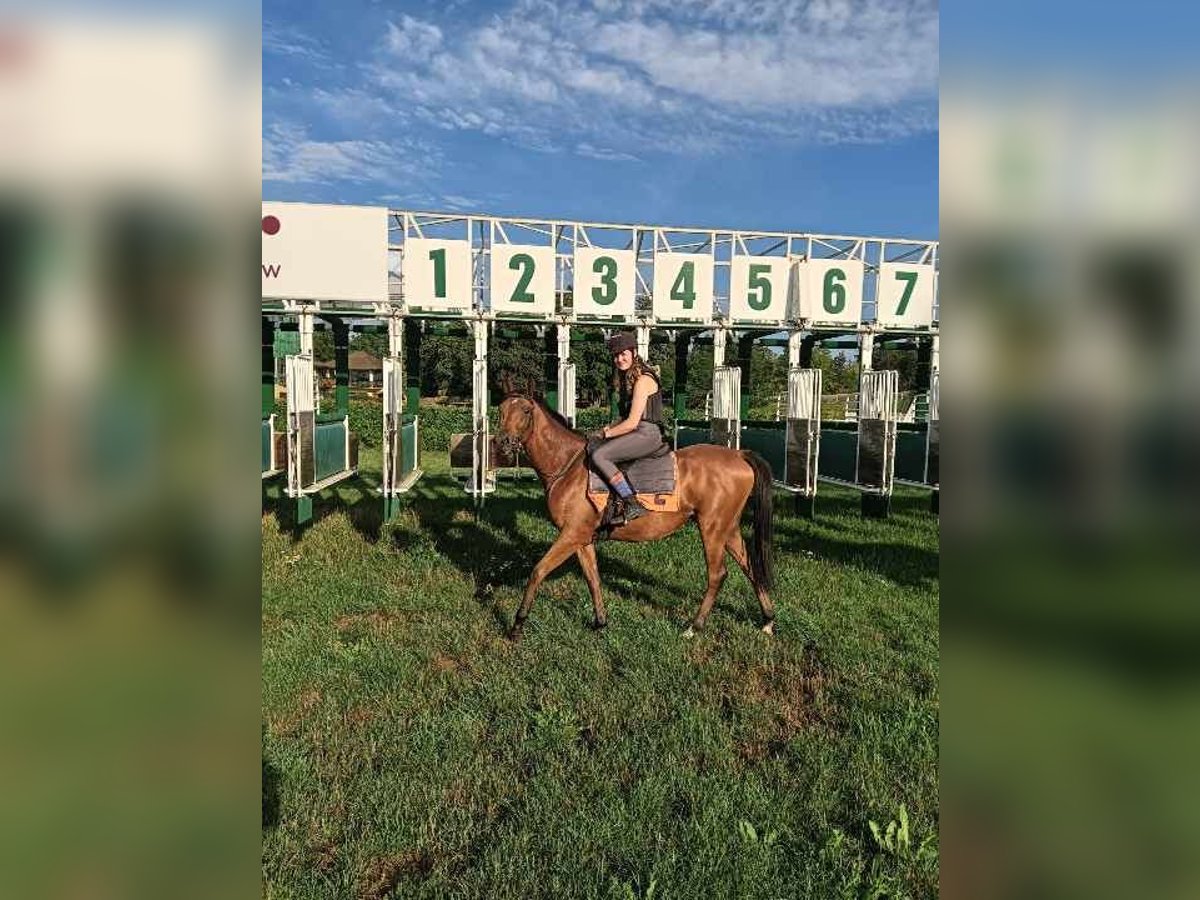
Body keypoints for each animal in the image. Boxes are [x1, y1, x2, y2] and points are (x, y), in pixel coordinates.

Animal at [496, 393, 777, 643]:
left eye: (526, 411)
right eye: (500, 410)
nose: (503, 442)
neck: (567, 467)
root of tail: (739, 455)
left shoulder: (571, 535)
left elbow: (538, 571)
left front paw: (517, 626)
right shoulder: (582, 539)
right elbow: (593, 578)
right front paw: (600, 622)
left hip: (712, 528)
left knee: (717, 574)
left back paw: (694, 627)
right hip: (728, 528)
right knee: (750, 566)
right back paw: (768, 620)